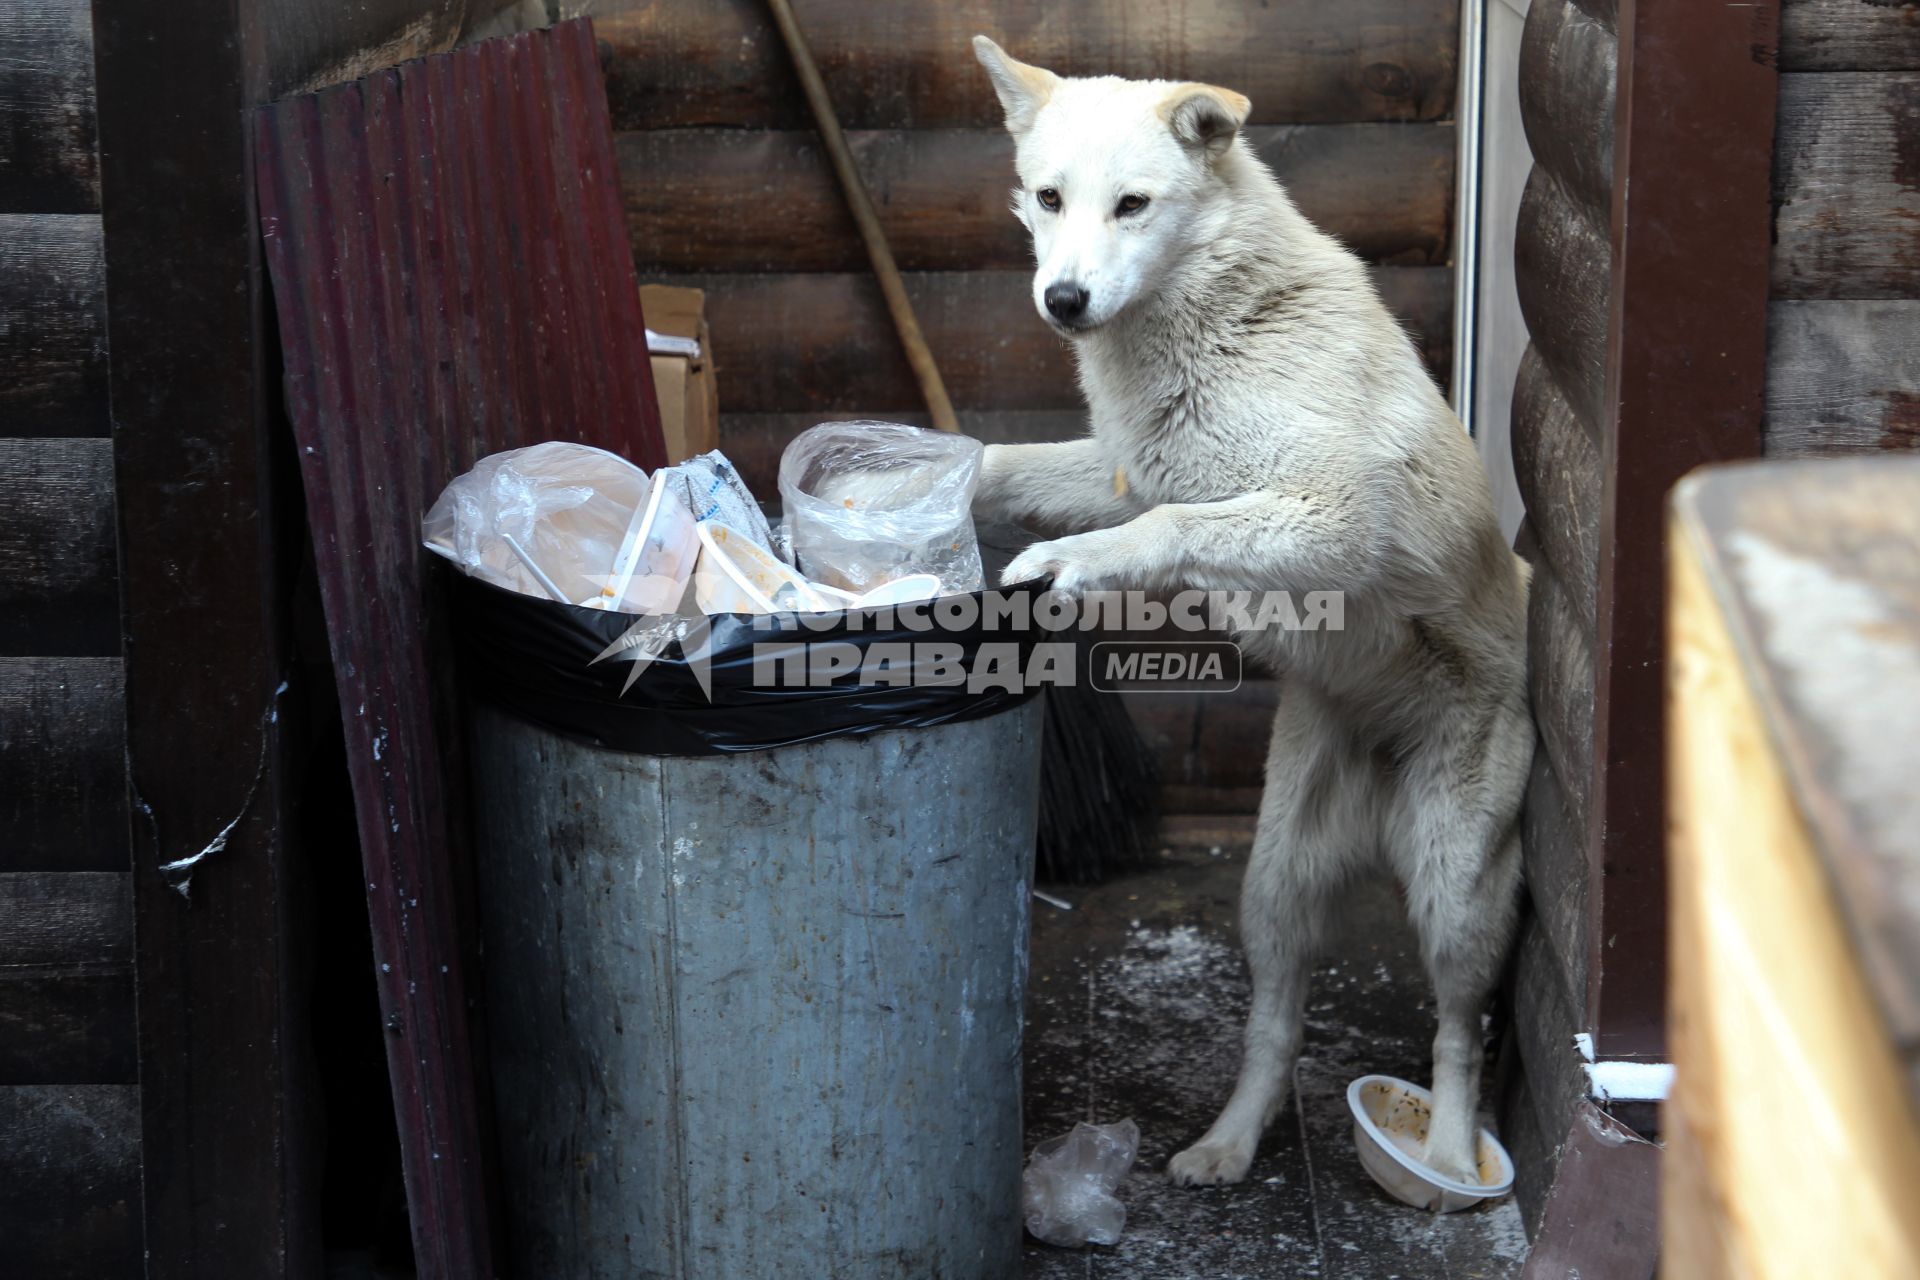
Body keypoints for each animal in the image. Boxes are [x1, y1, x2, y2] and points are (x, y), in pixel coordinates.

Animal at [975, 35, 1528, 1189]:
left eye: (1132, 204)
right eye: (1050, 198)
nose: (1064, 298)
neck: (1215, 324)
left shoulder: (1327, 516)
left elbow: (1168, 523)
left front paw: (1069, 565)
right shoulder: (1128, 467)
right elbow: (1012, 465)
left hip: (1455, 892)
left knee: (1458, 1031)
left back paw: (1445, 1157)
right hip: (1272, 888)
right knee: (1276, 1026)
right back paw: (1226, 1145)